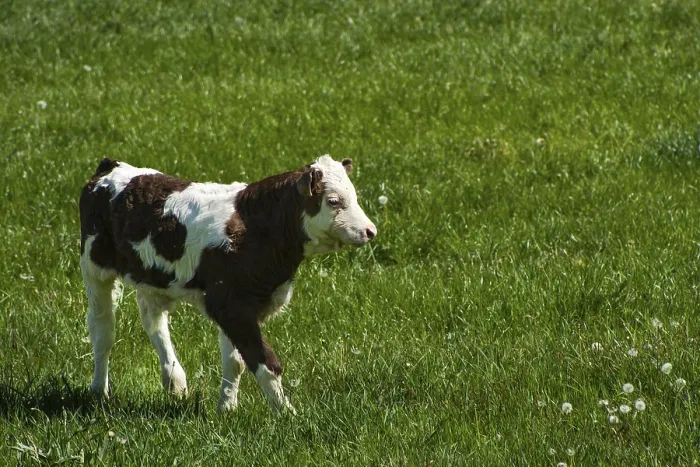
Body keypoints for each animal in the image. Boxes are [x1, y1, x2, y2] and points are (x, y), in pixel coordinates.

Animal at [79, 155, 377, 413]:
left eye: (354, 196)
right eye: (334, 201)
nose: (370, 230)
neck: (257, 227)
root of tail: (110, 167)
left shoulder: (241, 306)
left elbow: (235, 361)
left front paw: (227, 408)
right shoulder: (229, 305)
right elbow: (265, 362)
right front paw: (287, 414)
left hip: (152, 278)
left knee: (153, 321)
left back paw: (174, 380)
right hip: (94, 268)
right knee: (103, 330)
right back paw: (99, 391)